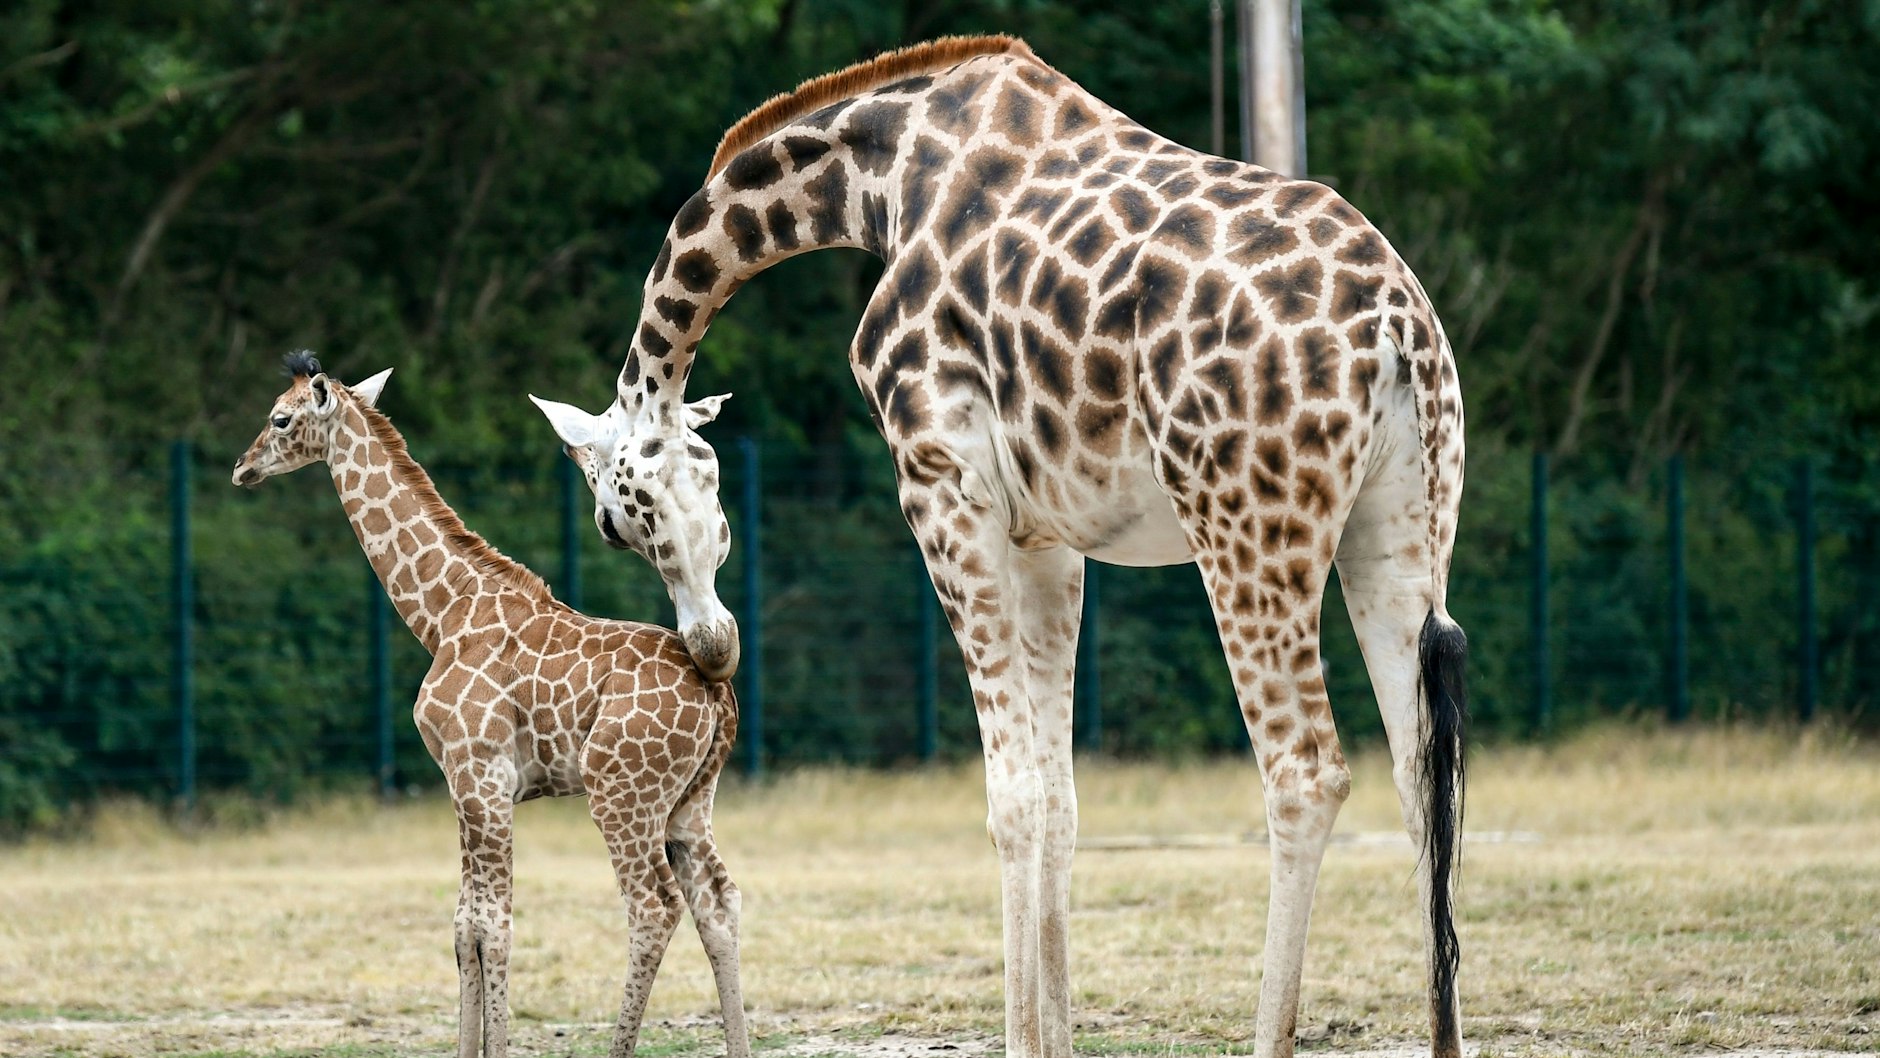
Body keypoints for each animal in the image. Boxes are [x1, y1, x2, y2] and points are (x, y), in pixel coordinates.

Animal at [232, 352, 751, 1058]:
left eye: (280, 418)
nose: (243, 467)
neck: (444, 613)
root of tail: (718, 695)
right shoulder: (461, 783)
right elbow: (463, 927)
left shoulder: (482, 776)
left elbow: (492, 927)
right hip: (691, 801)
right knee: (718, 900)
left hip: (622, 795)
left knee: (652, 907)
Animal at [531, 36, 1468, 1058]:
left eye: (612, 524)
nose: (711, 647)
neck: (881, 178)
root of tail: (1398, 325)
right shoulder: (1046, 538)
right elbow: (1058, 798)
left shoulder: (942, 486)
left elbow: (1011, 796)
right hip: (1400, 526)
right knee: (1422, 770)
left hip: (1246, 525)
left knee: (1305, 773)